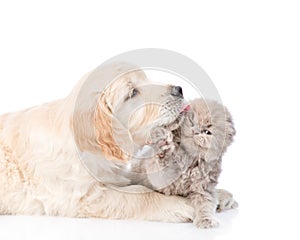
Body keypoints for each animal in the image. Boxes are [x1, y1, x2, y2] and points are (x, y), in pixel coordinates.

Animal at [130, 99, 236, 229]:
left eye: (207, 132)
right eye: (192, 122)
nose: (195, 131)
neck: (189, 161)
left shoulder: (204, 188)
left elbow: (206, 204)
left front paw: (206, 220)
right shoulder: (161, 180)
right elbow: (159, 164)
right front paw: (163, 147)